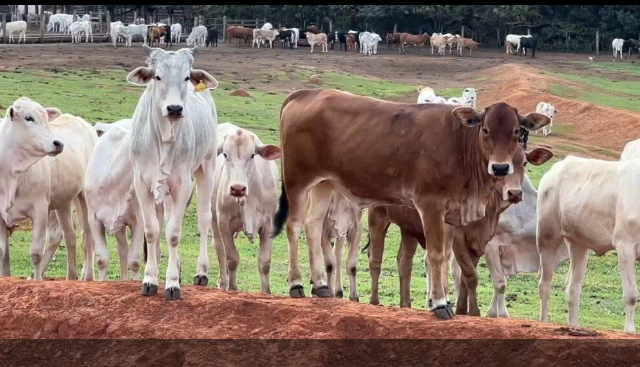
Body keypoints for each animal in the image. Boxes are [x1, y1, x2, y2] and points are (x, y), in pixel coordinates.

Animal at [126, 44, 224, 300]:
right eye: (157, 76)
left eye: (186, 77)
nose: (174, 108)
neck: (164, 137)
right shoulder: (142, 183)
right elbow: (152, 231)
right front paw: (150, 280)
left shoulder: (182, 184)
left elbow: (173, 233)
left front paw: (171, 284)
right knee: (169, 217)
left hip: (206, 167)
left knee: (203, 219)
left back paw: (201, 272)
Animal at [212, 123, 280, 294]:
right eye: (225, 155)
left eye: (252, 155)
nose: (237, 188)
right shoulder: (223, 222)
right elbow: (232, 258)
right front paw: (232, 287)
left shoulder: (269, 224)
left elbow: (264, 263)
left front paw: (266, 292)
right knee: (219, 249)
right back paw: (223, 282)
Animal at [272, 88, 552, 320]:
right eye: (485, 130)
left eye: (516, 132)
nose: (501, 168)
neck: (459, 146)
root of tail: (305, 93)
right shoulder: (431, 206)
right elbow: (436, 255)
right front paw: (439, 304)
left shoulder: (450, 216)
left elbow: (443, 259)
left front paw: (442, 299)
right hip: (298, 180)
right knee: (294, 226)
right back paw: (296, 284)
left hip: (324, 183)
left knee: (312, 224)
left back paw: (320, 285)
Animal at [536, 152, 640, 334]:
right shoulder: (625, 245)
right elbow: (631, 295)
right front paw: (629, 331)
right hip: (546, 238)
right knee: (545, 285)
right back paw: (544, 322)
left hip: (578, 244)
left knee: (572, 288)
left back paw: (574, 328)